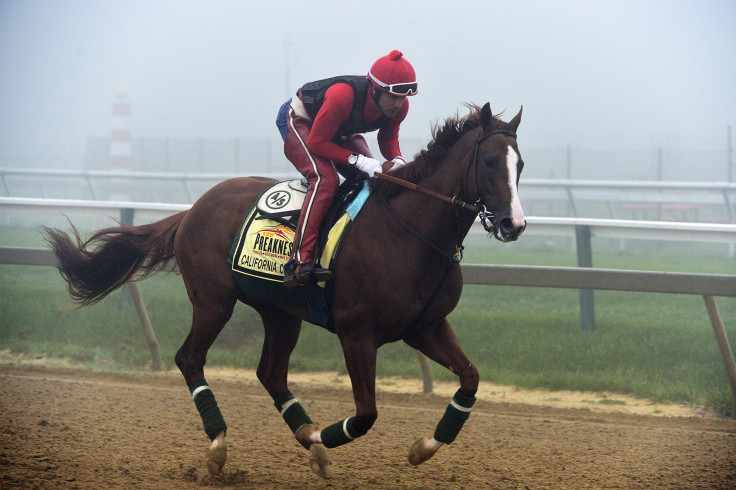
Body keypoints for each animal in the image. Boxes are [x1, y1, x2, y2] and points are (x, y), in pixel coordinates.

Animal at [44, 102, 524, 478]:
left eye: (519, 165)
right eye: (489, 162)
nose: (513, 224)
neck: (409, 233)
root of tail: (194, 208)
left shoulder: (426, 326)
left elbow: (470, 380)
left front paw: (422, 447)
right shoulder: (357, 333)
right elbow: (365, 415)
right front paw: (323, 443)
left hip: (280, 312)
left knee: (271, 374)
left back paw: (304, 435)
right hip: (213, 301)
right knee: (190, 359)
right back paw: (219, 447)